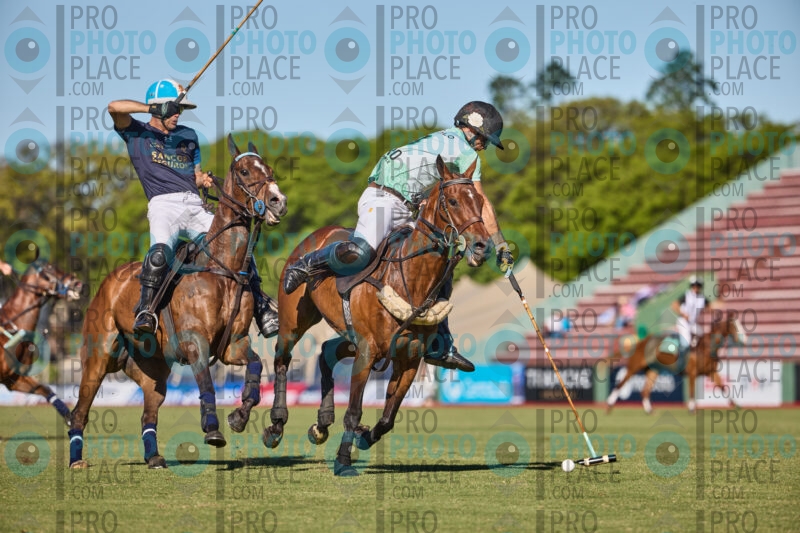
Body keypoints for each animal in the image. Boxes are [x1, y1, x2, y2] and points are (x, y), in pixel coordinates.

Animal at [68, 135, 287, 469]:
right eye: (245, 171)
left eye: (270, 170)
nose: (278, 201)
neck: (222, 270)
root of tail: (110, 281)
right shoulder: (195, 341)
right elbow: (207, 383)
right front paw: (213, 429)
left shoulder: (233, 344)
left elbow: (255, 365)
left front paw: (239, 417)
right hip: (98, 357)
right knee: (80, 408)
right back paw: (76, 460)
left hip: (154, 369)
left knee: (149, 412)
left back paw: (154, 457)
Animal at [606, 309, 747, 414]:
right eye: (735, 326)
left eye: (741, 325)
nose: (744, 340)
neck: (705, 348)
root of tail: (641, 342)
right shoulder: (692, 373)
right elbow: (691, 392)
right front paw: (691, 409)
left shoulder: (711, 372)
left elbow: (723, 388)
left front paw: (736, 405)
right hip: (634, 367)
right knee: (620, 384)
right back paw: (609, 405)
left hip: (653, 370)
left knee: (644, 391)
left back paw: (649, 410)